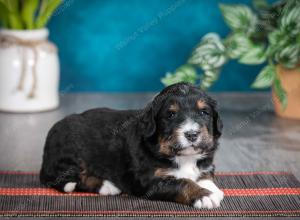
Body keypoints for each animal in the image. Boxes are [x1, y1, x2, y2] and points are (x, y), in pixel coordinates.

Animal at [39, 81, 223, 209]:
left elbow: (204, 176)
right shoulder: (147, 180)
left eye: (204, 112)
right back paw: (107, 186)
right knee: (72, 179)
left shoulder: (205, 165)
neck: (183, 157)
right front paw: (203, 195)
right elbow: (182, 182)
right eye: (171, 115)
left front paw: (213, 190)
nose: (192, 134)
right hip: (70, 156)